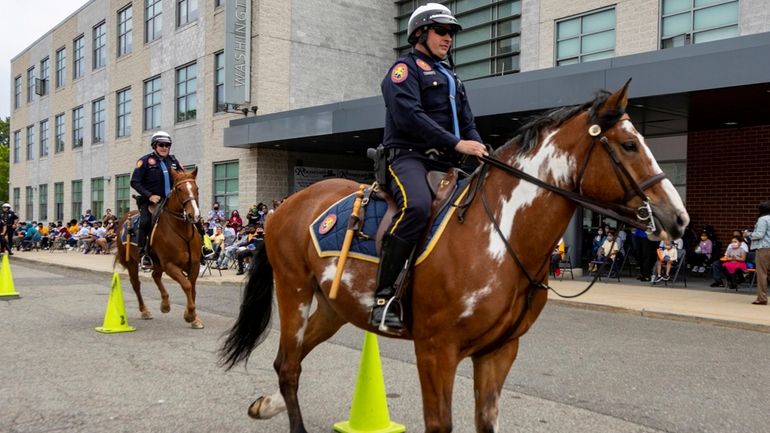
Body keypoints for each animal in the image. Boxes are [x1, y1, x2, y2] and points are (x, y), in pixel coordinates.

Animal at [114, 168, 204, 328]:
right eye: (179, 189)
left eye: (196, 188)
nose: (194, 215)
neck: (182, 231)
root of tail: (125, 217)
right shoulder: (170, 265)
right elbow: (187, 285)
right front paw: (190, 314)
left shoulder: (194, 265)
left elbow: (192, 288)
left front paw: (194, 318)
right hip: (132, 263)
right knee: (136, 284)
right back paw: (145, 311)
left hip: (157, 263)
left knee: (155, 276)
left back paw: (165, 304)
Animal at [219, 82, 688, 430]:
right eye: (629, 145)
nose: (678, 218)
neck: (498, 235)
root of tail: (285, 205)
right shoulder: (436, 351)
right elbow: (439, 424)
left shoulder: (499, 351)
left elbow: (486, 422)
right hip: (294, 291)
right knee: (289, 365)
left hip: (335, 307)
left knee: (291, 360)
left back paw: (267, 405)